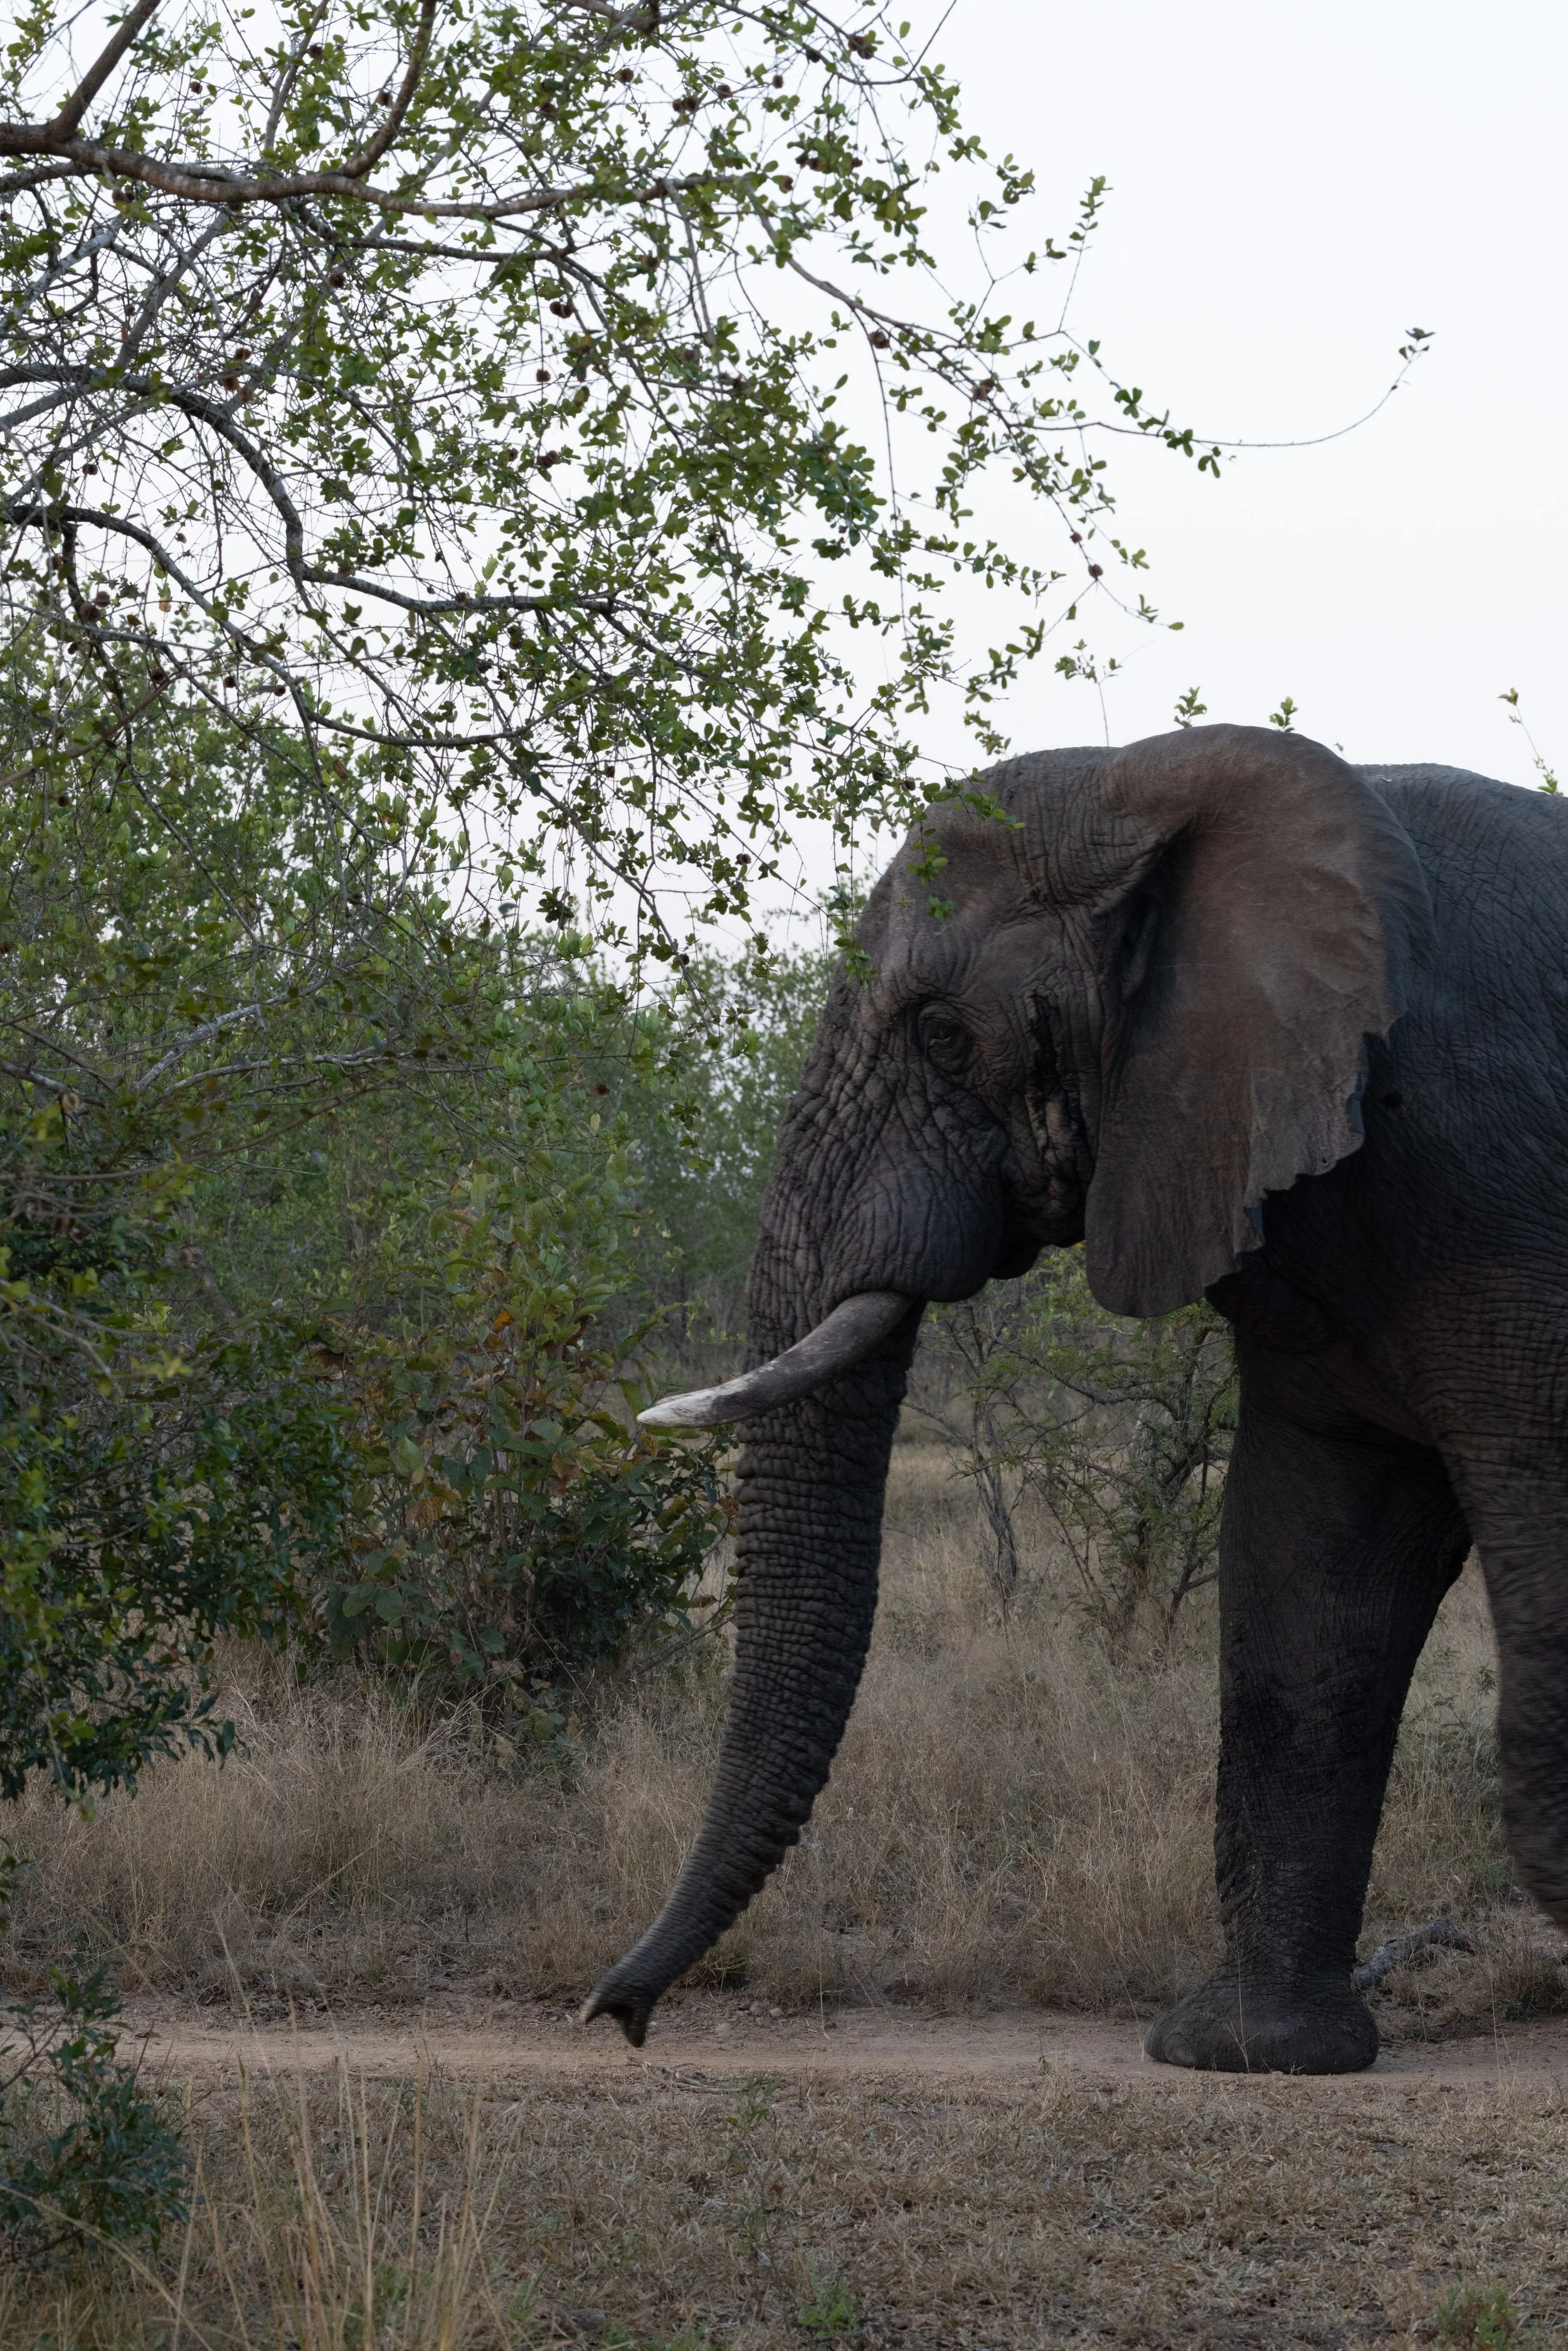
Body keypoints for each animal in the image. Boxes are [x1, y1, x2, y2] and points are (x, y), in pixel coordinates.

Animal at [583, 722, 1568, 2073]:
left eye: (945, 1038)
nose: (618, 2013)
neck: (1152, 781)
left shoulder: (1497, 1168)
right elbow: (1307, 1573)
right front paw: (1248, 2050)